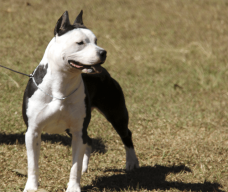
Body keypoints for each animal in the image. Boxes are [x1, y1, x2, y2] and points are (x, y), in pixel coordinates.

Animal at [22, 10, 138, 192]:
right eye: (80, 43)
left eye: (96, 41)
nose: (103, 52)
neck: (61, 83)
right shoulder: (33, 132)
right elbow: (33, 164)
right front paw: (31, 187)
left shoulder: (78, 131)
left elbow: (74, 166)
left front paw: (74, 187)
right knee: (89, 140)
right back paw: (85, 167)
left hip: (116, 114)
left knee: (126, 134)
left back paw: (132, 162)